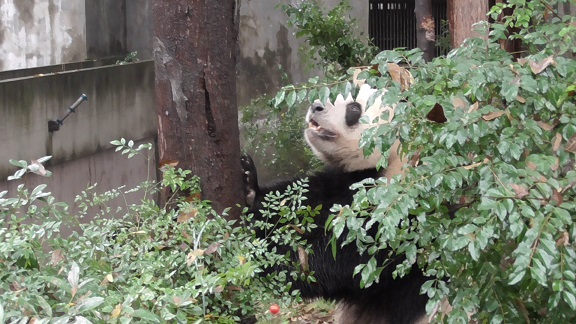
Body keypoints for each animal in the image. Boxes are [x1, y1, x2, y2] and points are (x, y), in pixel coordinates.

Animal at [241, 84, 430, 324]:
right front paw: (250, 188)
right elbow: (309, 201)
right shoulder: (341, 183)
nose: (315, 106)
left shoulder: (401, 215)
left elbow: (337, 263)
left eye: (354, 108)